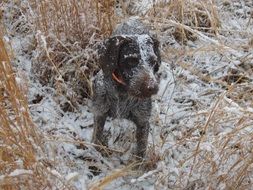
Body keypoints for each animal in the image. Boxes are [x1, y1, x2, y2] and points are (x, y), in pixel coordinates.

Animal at [92, 17, 161, 160]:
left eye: (153, 61)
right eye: (131, 61)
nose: (152, 87)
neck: (123, 93)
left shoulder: (142, 121)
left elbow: (141, 150)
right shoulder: (99, 112)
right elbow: (96, 138)